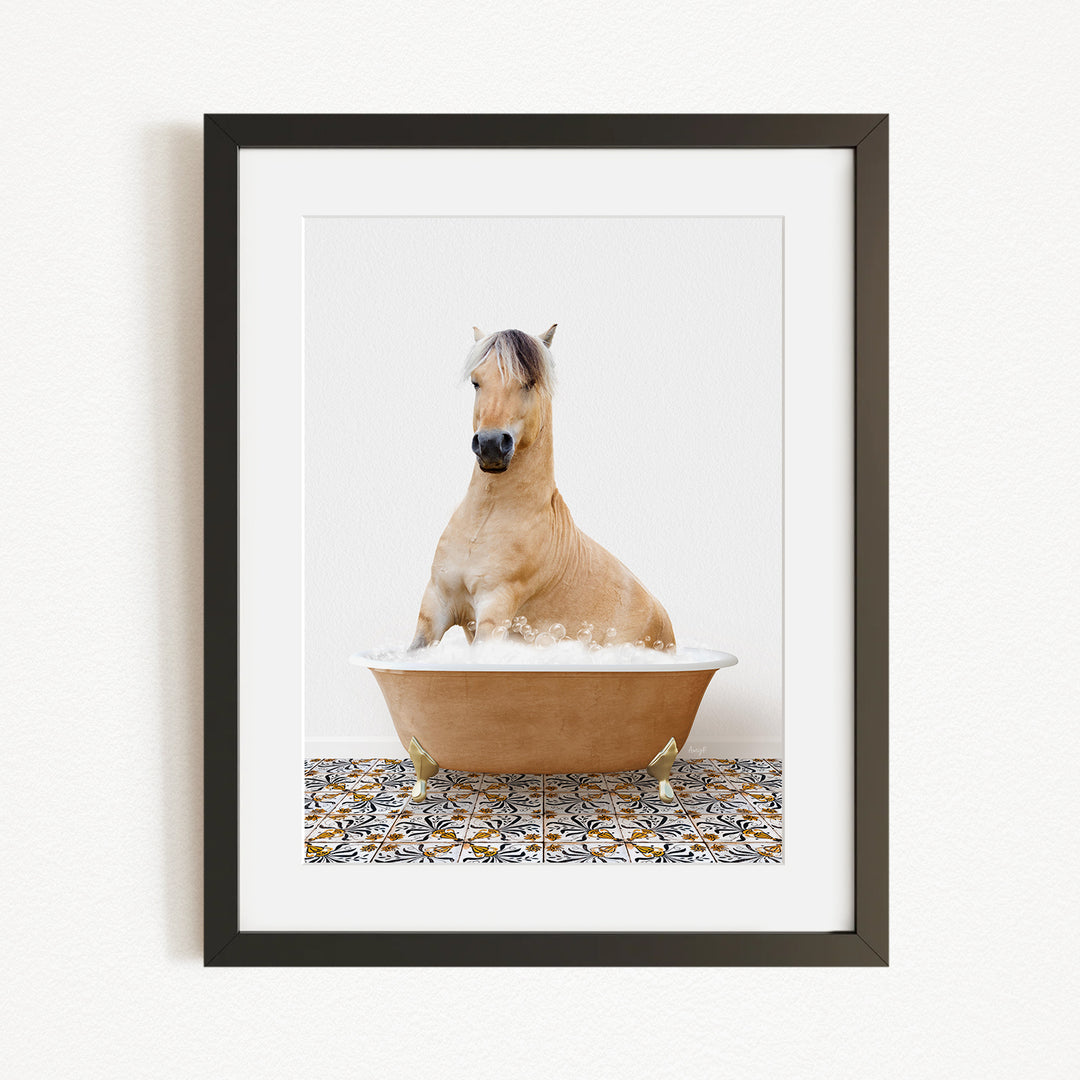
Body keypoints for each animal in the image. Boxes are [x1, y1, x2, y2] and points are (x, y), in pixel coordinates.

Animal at [409, 325, 675, 652]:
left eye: (529, 382)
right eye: (476, 382)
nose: (490, 445)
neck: (485, 521)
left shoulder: (494, 609)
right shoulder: (436, 604)